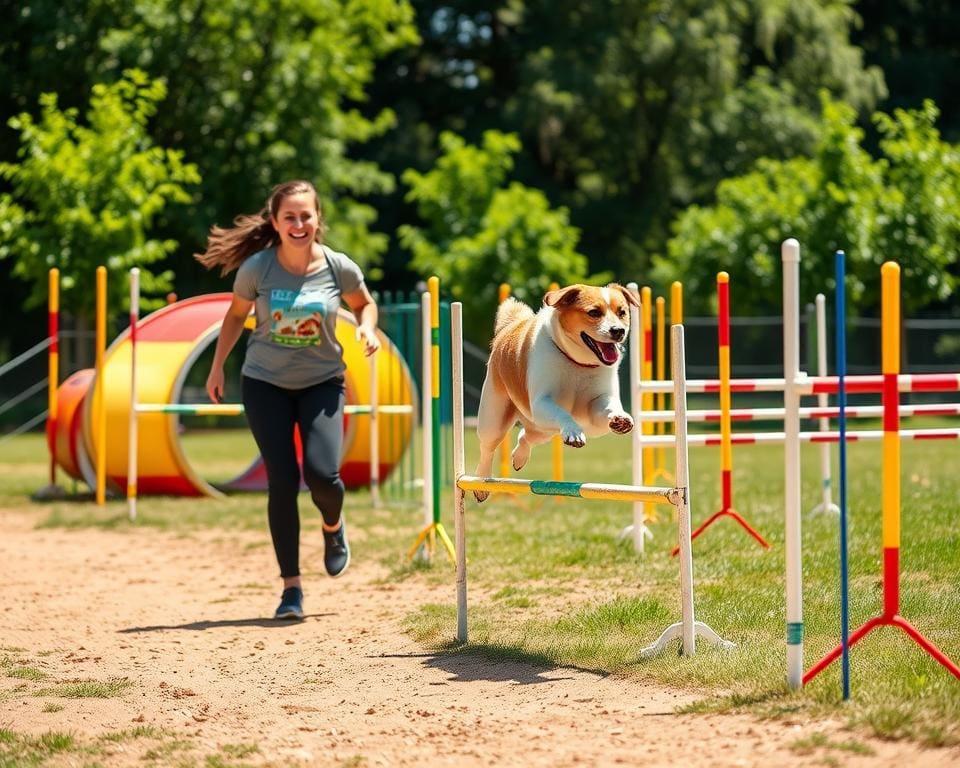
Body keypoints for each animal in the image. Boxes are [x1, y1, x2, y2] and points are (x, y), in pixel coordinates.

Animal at [470, 284, 636, 504]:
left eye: (622, 312)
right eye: (594, 312)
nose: (618, 331)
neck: (577, 363)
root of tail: (509, 328)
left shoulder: (595, 405)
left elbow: (608, 407)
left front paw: (620, 418)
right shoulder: (542, 402)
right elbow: (562, 412)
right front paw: (573, 432)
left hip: (543, 431)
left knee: (525, 437)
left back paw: (519, 457)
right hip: (494, 419)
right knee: (487, 449)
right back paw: (481, 484)